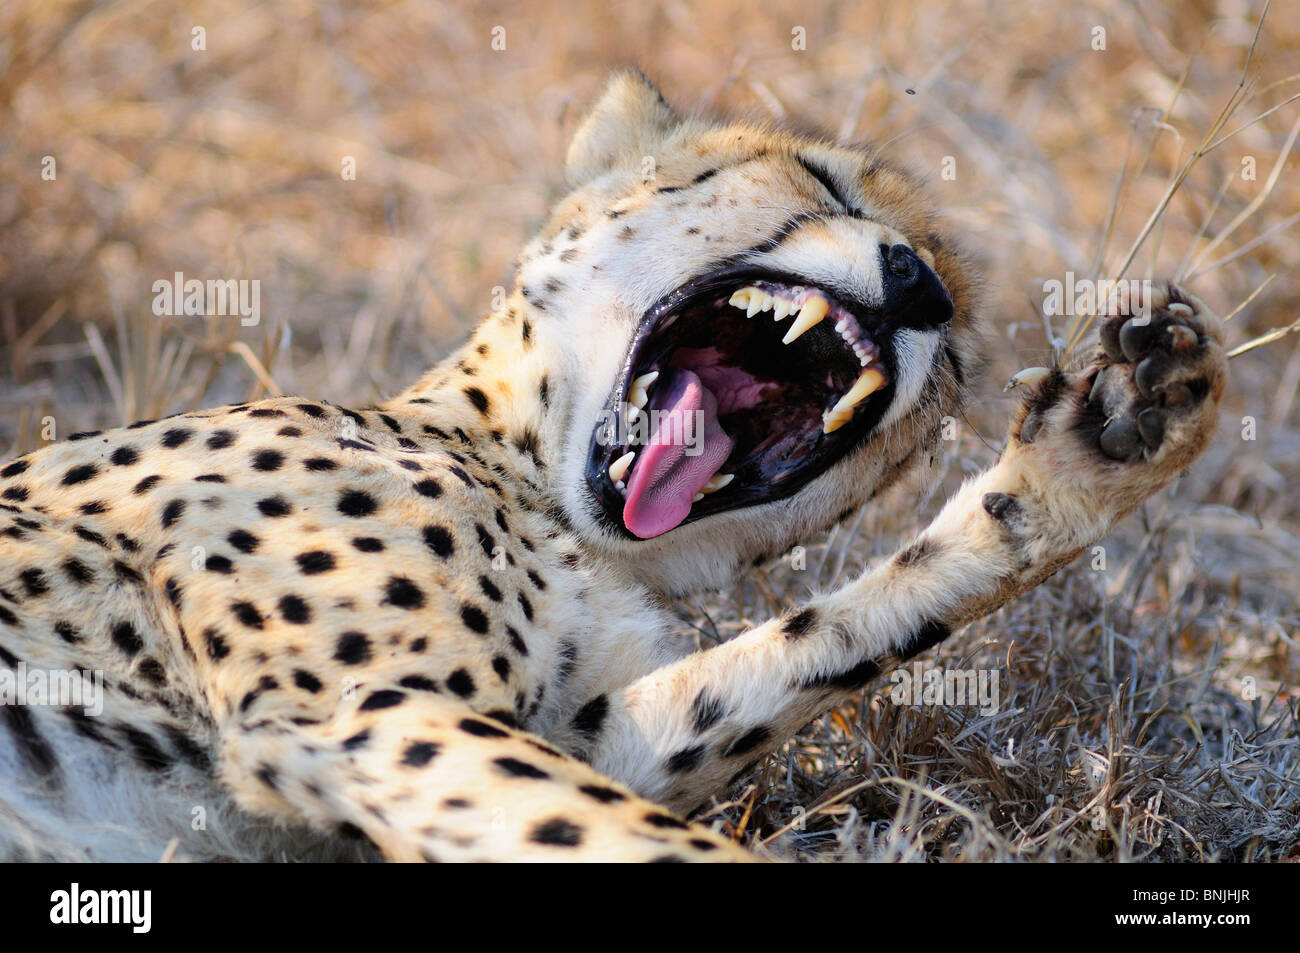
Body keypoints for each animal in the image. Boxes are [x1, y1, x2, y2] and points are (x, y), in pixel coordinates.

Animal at [0, 72, 1227, 863]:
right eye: (822, 179)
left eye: (958, 347)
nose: (918, 285)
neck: (542, 495)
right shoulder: (361, 711)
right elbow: (653, 839)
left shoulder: (562, 728)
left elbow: (814, 638)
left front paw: (1104, 444)